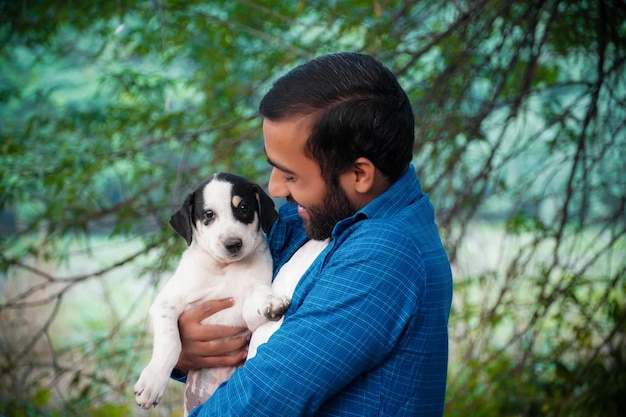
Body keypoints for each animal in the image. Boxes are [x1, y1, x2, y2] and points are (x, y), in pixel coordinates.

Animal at [133, 171, 288, 412]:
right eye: (208, 214)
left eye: (243, 208)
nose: (233, 244)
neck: (223, 268)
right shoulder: (165, 304)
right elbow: (171, 341)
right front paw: (152, 383)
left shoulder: (246, 313)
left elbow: (259, 292)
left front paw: (271, 302)